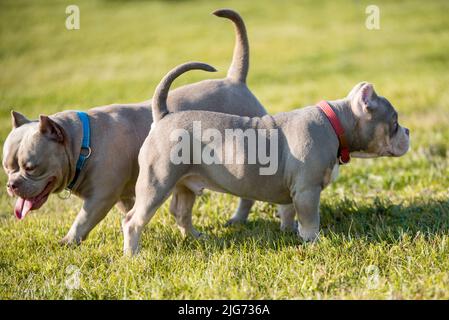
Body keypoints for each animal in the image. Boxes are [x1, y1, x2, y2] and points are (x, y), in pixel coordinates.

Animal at [1, 10, 266, 245]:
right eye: (7, 168)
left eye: (31, 167)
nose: (11, 185)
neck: (81, 143)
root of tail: (234, 80)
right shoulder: (124, 195)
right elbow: (130, 212)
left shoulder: (100, 198)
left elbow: (83, 220)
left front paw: (68, 241)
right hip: (183, 180)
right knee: (182, 211)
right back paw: (196, 236)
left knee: (246, 196)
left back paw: (237, 219)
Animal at [122, 61, 410, 254]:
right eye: (394, 122)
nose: (408, 131)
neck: (336, 122)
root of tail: (163, 116)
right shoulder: (308, 191)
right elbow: (310, 220)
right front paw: (313, 242)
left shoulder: (294, 190)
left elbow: (288, 211)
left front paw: (289, 231)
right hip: (157, 183)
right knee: (133, 220)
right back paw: (133, 254)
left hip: (185, 184)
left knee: (181, 212)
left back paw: (195, 237)